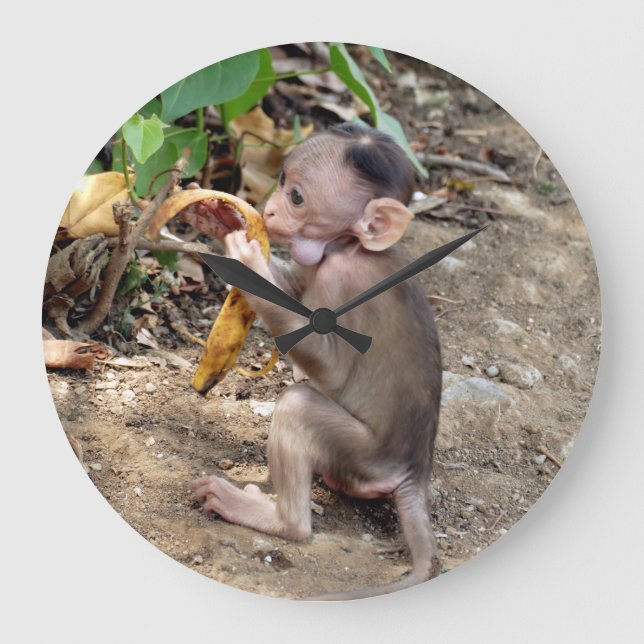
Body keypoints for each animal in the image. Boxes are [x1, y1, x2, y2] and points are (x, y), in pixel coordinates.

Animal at [192, 123, 442, 600]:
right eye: (282, 179)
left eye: (297, 197)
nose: (269, 210)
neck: (352, 247)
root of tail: (413, 472)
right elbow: (292, 287)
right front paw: (222, 220)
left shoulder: (340, 277)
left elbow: (331, 368)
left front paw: (245, 257)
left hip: (364, 454)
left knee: (298, 407)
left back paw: (278, 520)